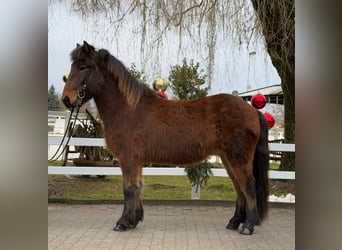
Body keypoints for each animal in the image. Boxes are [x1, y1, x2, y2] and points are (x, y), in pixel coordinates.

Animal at [62, 41, 270, 234]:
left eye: (84, 67)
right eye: (73, 66)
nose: (66, 99)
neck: (128, 110)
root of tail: (252, 110)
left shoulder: (128, 159)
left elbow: (129, 189)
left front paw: (123, 222)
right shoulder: (136, 161)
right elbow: (138, 187)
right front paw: (134, 219)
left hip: (238, 158)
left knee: (248, 186)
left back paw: (248, 226)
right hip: (228, 158)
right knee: (239, 188)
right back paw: (234, 222)